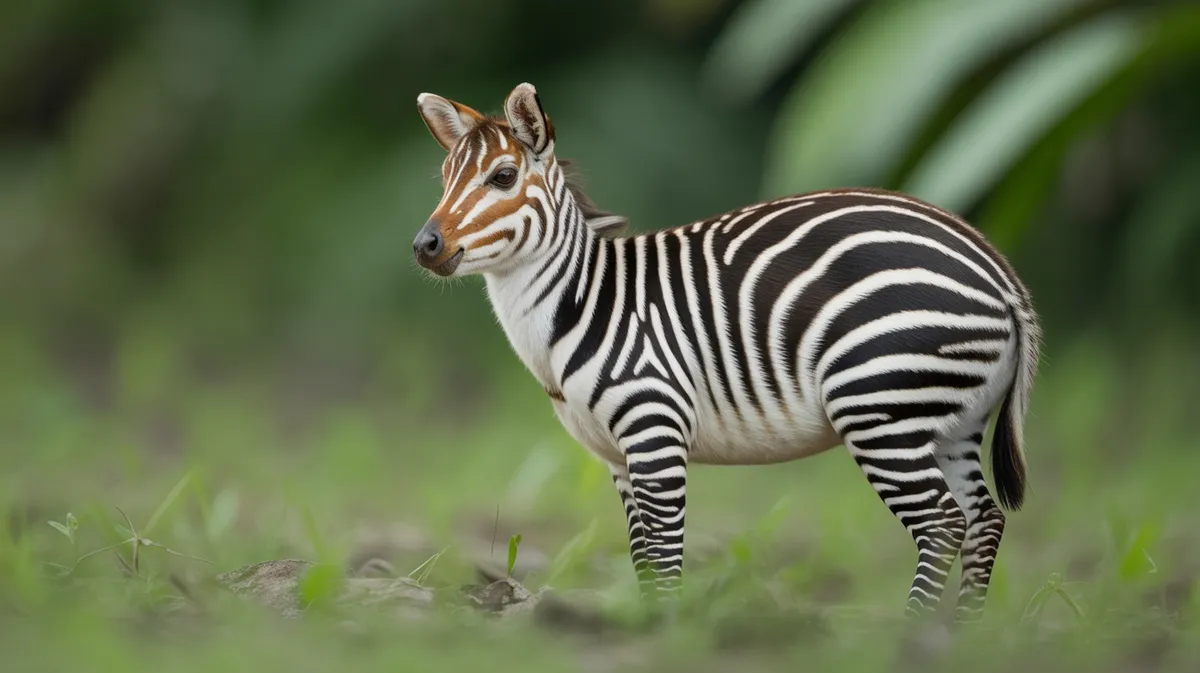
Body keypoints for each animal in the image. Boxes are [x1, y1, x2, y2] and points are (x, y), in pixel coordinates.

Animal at [410, 82, 1040, 622]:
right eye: (443, 178)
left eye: (503, 177)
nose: (424, 245)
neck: (580, 303)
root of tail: (998, 269)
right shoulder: (618, 459)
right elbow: (642, 558)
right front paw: (650, 626)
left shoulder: (655, 430)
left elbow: (665, 555)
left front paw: (666, 635)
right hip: (948, 421)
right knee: (983, 520)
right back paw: (959, 634)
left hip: (879, 407)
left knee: (942, 523)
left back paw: (911, 633)